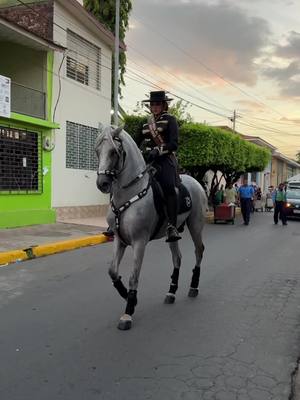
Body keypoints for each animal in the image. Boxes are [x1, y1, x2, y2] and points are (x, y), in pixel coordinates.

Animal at [95, 126, 206, 330]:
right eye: (97, 151)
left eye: (114, 152)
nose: (102, 184)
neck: (129, 193)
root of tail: (194, 181)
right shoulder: (119, 240)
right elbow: (112, 271)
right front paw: (127, 296)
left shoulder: (140, 242)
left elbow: (133, 276)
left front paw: (128, 311)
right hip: (173, 233)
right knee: (177, 258)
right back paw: (171, 292)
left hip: (195, 225)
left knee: (199, 251)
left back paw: (194, 286)